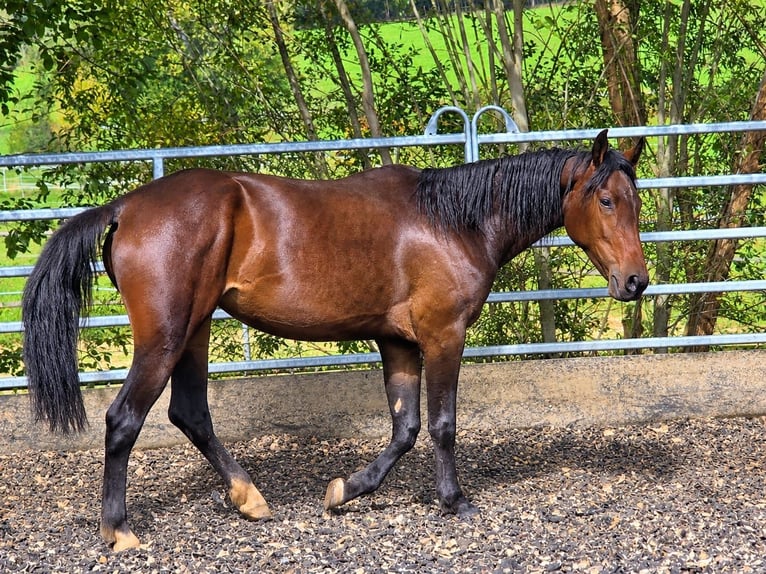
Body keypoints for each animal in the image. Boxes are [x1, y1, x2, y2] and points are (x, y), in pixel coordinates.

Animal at [22, 129, 647, 551]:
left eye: (636, 201)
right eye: (606, 200)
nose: (636, 282)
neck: (451, 222)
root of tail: (126, 207)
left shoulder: (398, 343)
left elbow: (405, 428)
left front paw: (346, 490)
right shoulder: (442, 335)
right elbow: (442, 424)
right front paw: (454, 501)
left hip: (195, 331)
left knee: (190, 413)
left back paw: (249, 499)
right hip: (166, 336)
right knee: (124, 418)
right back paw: (119, 530)